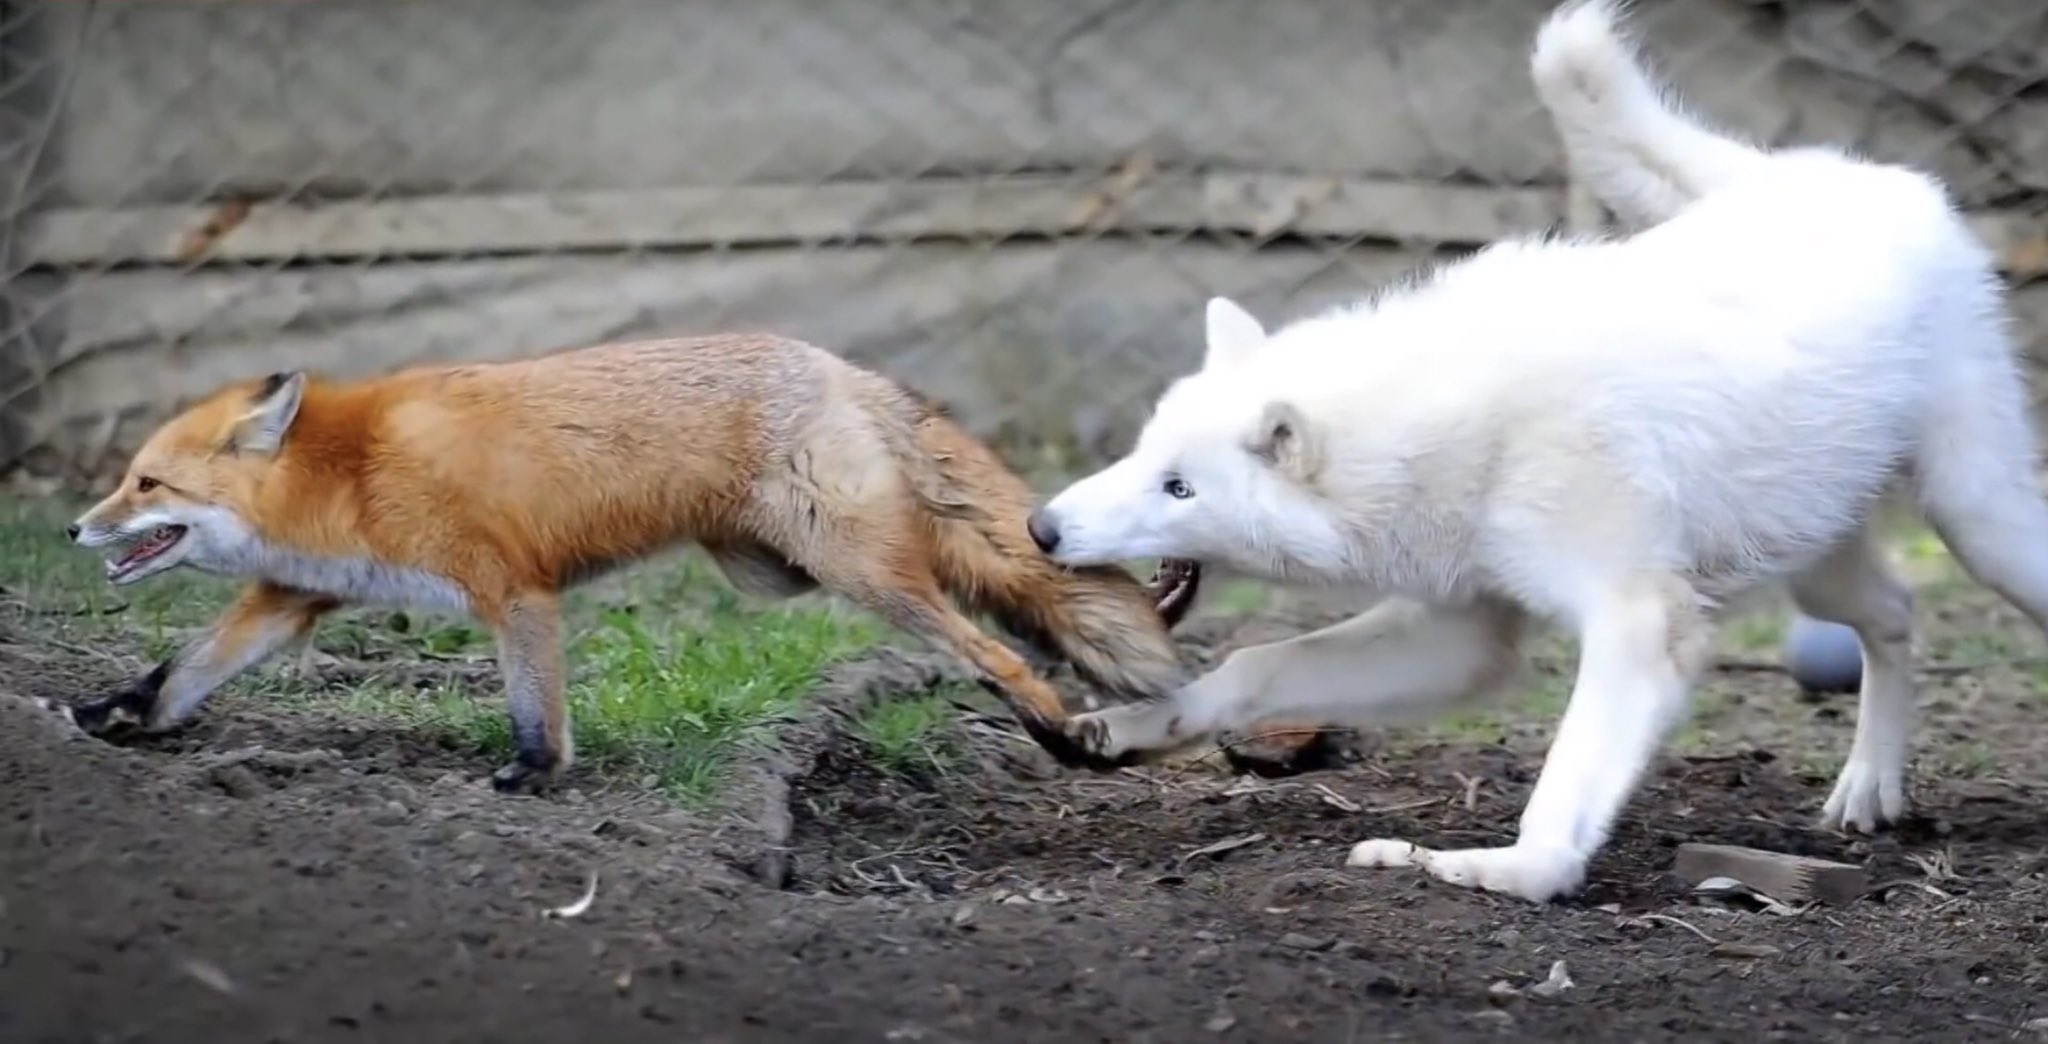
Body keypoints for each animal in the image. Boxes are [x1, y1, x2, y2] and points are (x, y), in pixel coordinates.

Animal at [1032, 0, 2048, 900]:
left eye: (1178, 488)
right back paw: (1869, 791)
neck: (1449, 421)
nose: (1041, 526)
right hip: (1815, 570)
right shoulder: (1463, 633)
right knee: (1896, 612)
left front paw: (1504, 872)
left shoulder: (1639, 621)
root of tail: (1848, 171)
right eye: (1142, 458)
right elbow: (1255, 668)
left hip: (1978, 523)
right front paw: (1131, 728)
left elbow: (1562, 791)